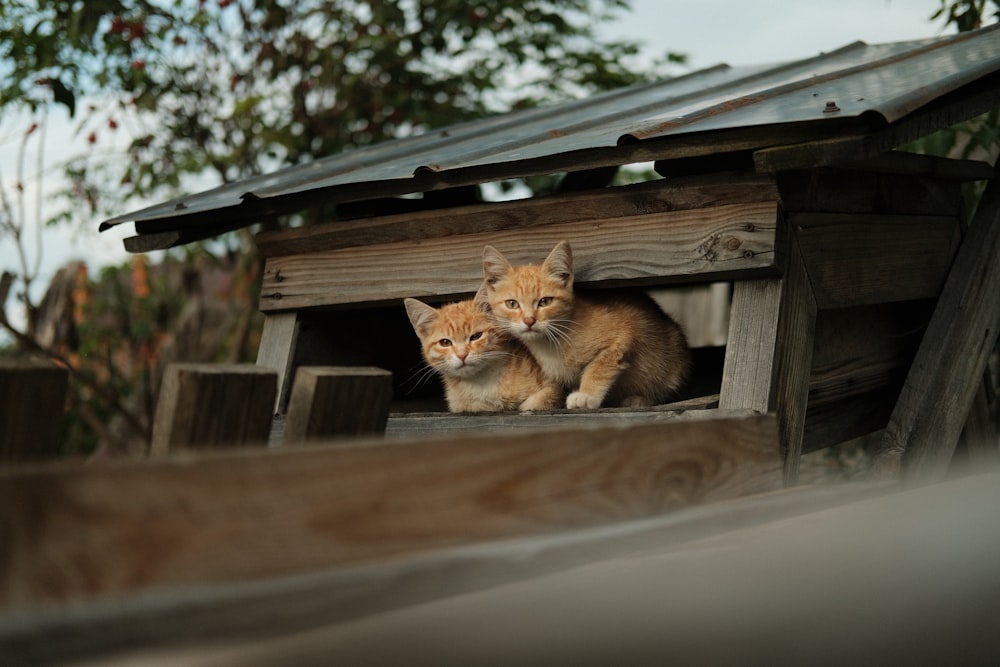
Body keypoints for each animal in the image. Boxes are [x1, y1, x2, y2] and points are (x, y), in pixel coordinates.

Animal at [404, 298, 564, 412]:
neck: (482, 383)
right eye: (445, 342)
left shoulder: (553, 385)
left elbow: (537, 401)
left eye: (476, 336)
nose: (462, 355)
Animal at [480, 240, 692, 408]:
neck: (550, 345)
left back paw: (638, 399)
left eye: (545, 301)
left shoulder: (625, 330)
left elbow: (599, 366)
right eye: (512, 304)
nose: (529, 320)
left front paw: (587, 395)